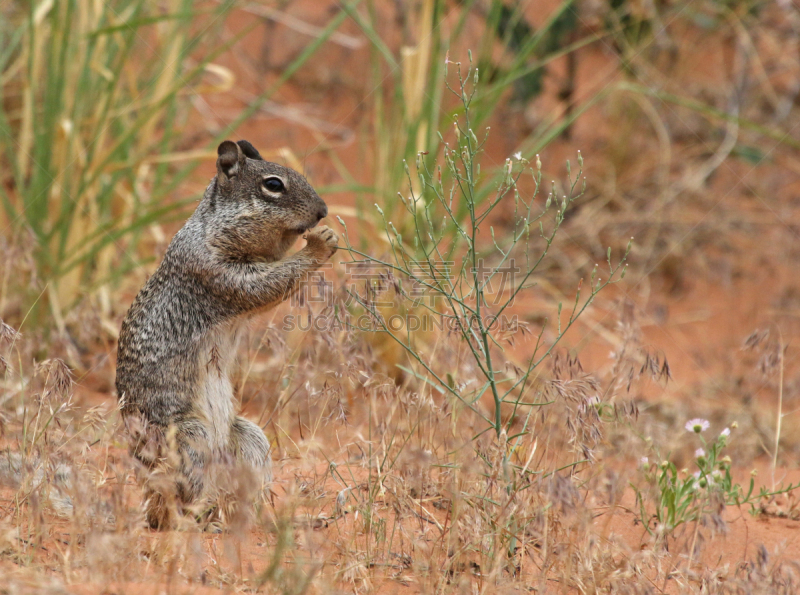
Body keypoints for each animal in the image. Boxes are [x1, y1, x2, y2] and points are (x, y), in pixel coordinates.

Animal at [115, 141, 338, 532]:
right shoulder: (216, 273)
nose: (323, 211)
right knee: (175, 504)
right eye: (273, 185)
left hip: (250, 439)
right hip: (190, 439)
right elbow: (265, 285)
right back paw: (194, 522)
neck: (209, 228)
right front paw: (319, 245)